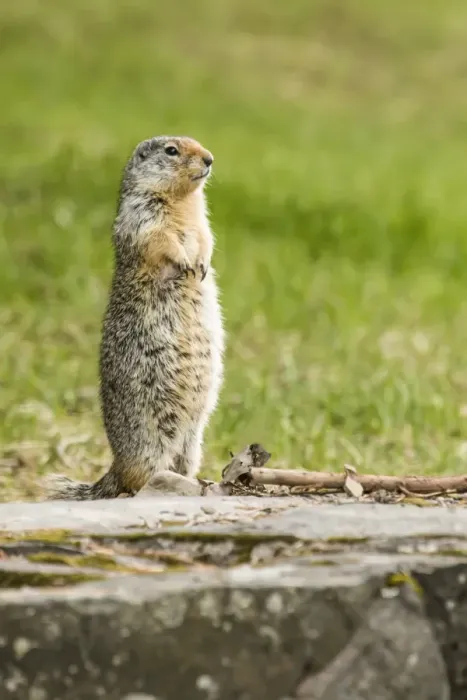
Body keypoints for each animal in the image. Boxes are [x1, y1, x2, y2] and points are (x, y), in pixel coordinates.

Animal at [46, 135, 224, 500]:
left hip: (191, 445)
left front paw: (202, 263)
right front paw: (186, 263)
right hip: (151, 443)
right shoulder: (143, 217)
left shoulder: (202, 222)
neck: (182, 201)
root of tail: (115, 468)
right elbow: (160, 240)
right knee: (138, 481)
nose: (210, 159)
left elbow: (206, 237)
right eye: (171, 150)